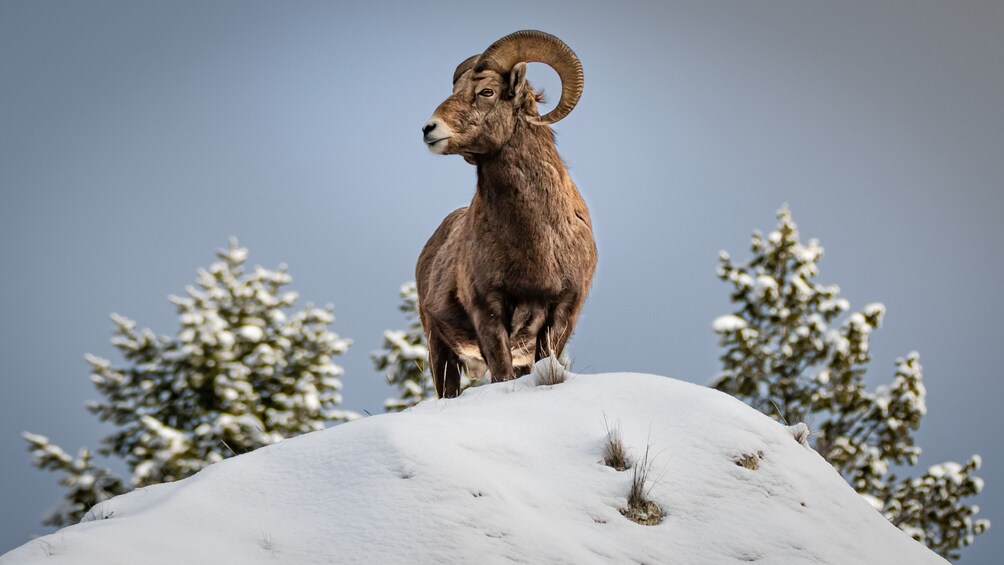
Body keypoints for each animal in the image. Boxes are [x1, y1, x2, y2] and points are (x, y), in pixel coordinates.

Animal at [415, 27, 594, 397]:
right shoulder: (490, 313)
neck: (536, 243)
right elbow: (502, 375)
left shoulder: (561, 313)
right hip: (439, 348)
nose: (429, 129)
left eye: (487, 91)